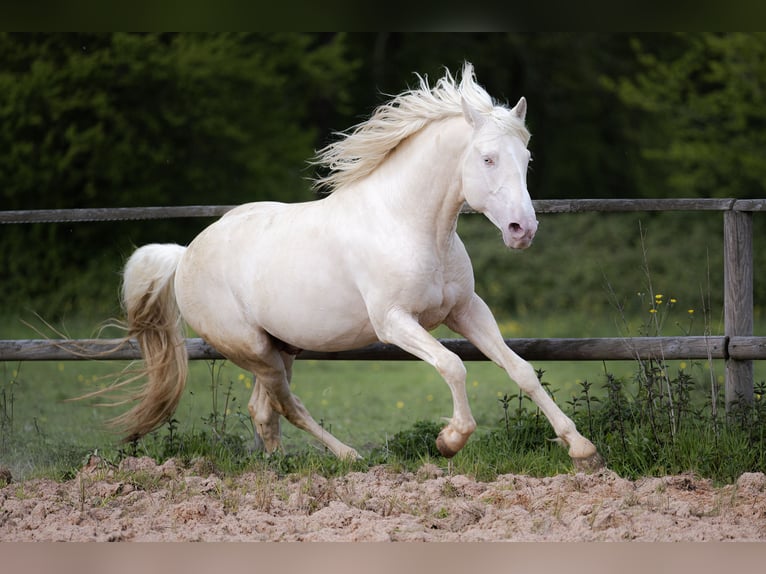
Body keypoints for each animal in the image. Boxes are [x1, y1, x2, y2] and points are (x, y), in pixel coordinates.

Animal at [114, 63, 608, 472]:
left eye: (526, 160)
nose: (522, 230)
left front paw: (582, 448)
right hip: (252, 349)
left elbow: (521, 369)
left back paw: (279, 467)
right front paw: (449, 441)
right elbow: (452, 365)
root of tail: (184, 255)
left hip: (281, 347)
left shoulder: (466, 310)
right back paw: (348, 456)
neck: (410, 225)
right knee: (287, 405)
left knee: (264, 409)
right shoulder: (394, 322)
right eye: (487, 158)